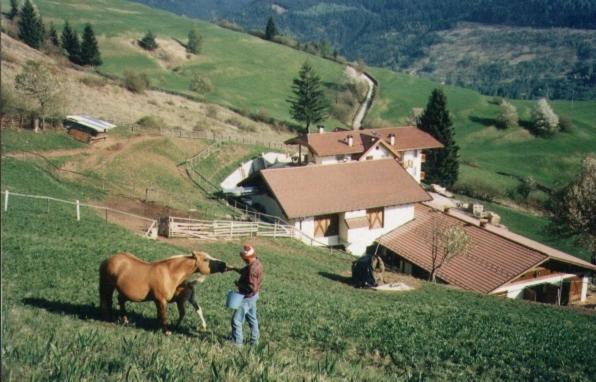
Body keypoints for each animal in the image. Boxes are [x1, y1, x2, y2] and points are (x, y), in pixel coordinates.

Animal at [98, 251, 228, 334]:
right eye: (206, 259)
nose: (224, 265)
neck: (169, 273)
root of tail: (108, 260)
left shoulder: (159, 301)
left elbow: (160, 315)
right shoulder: (161, 300)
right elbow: (164, 316)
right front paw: (166, 332)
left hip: (125, 293)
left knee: (119, 301)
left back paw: (125, 320)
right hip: (108, 286)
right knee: (107, 300)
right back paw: (108, 318)